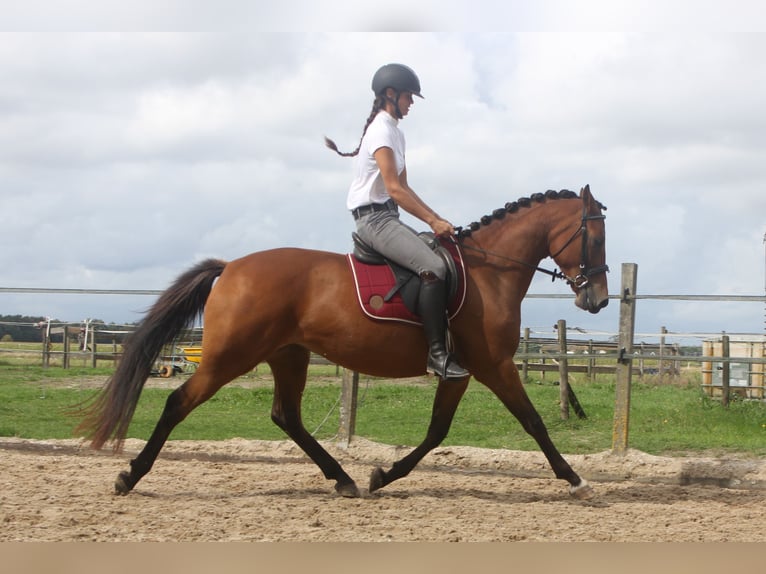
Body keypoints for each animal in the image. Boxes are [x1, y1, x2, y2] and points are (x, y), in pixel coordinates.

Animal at [77, 185, 609, 499]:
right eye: (597, 238)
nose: (599, 299)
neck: (486, 272)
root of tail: (231, 267)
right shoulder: (493, 364)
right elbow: (533, 422)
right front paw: (575, 478)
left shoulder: (461, 371)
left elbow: (437, 432)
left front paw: (382, 475)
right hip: (231, 356)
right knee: (178, 403)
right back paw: (129, 477)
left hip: (287, 355)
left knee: (286, 416)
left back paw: (344, 478)